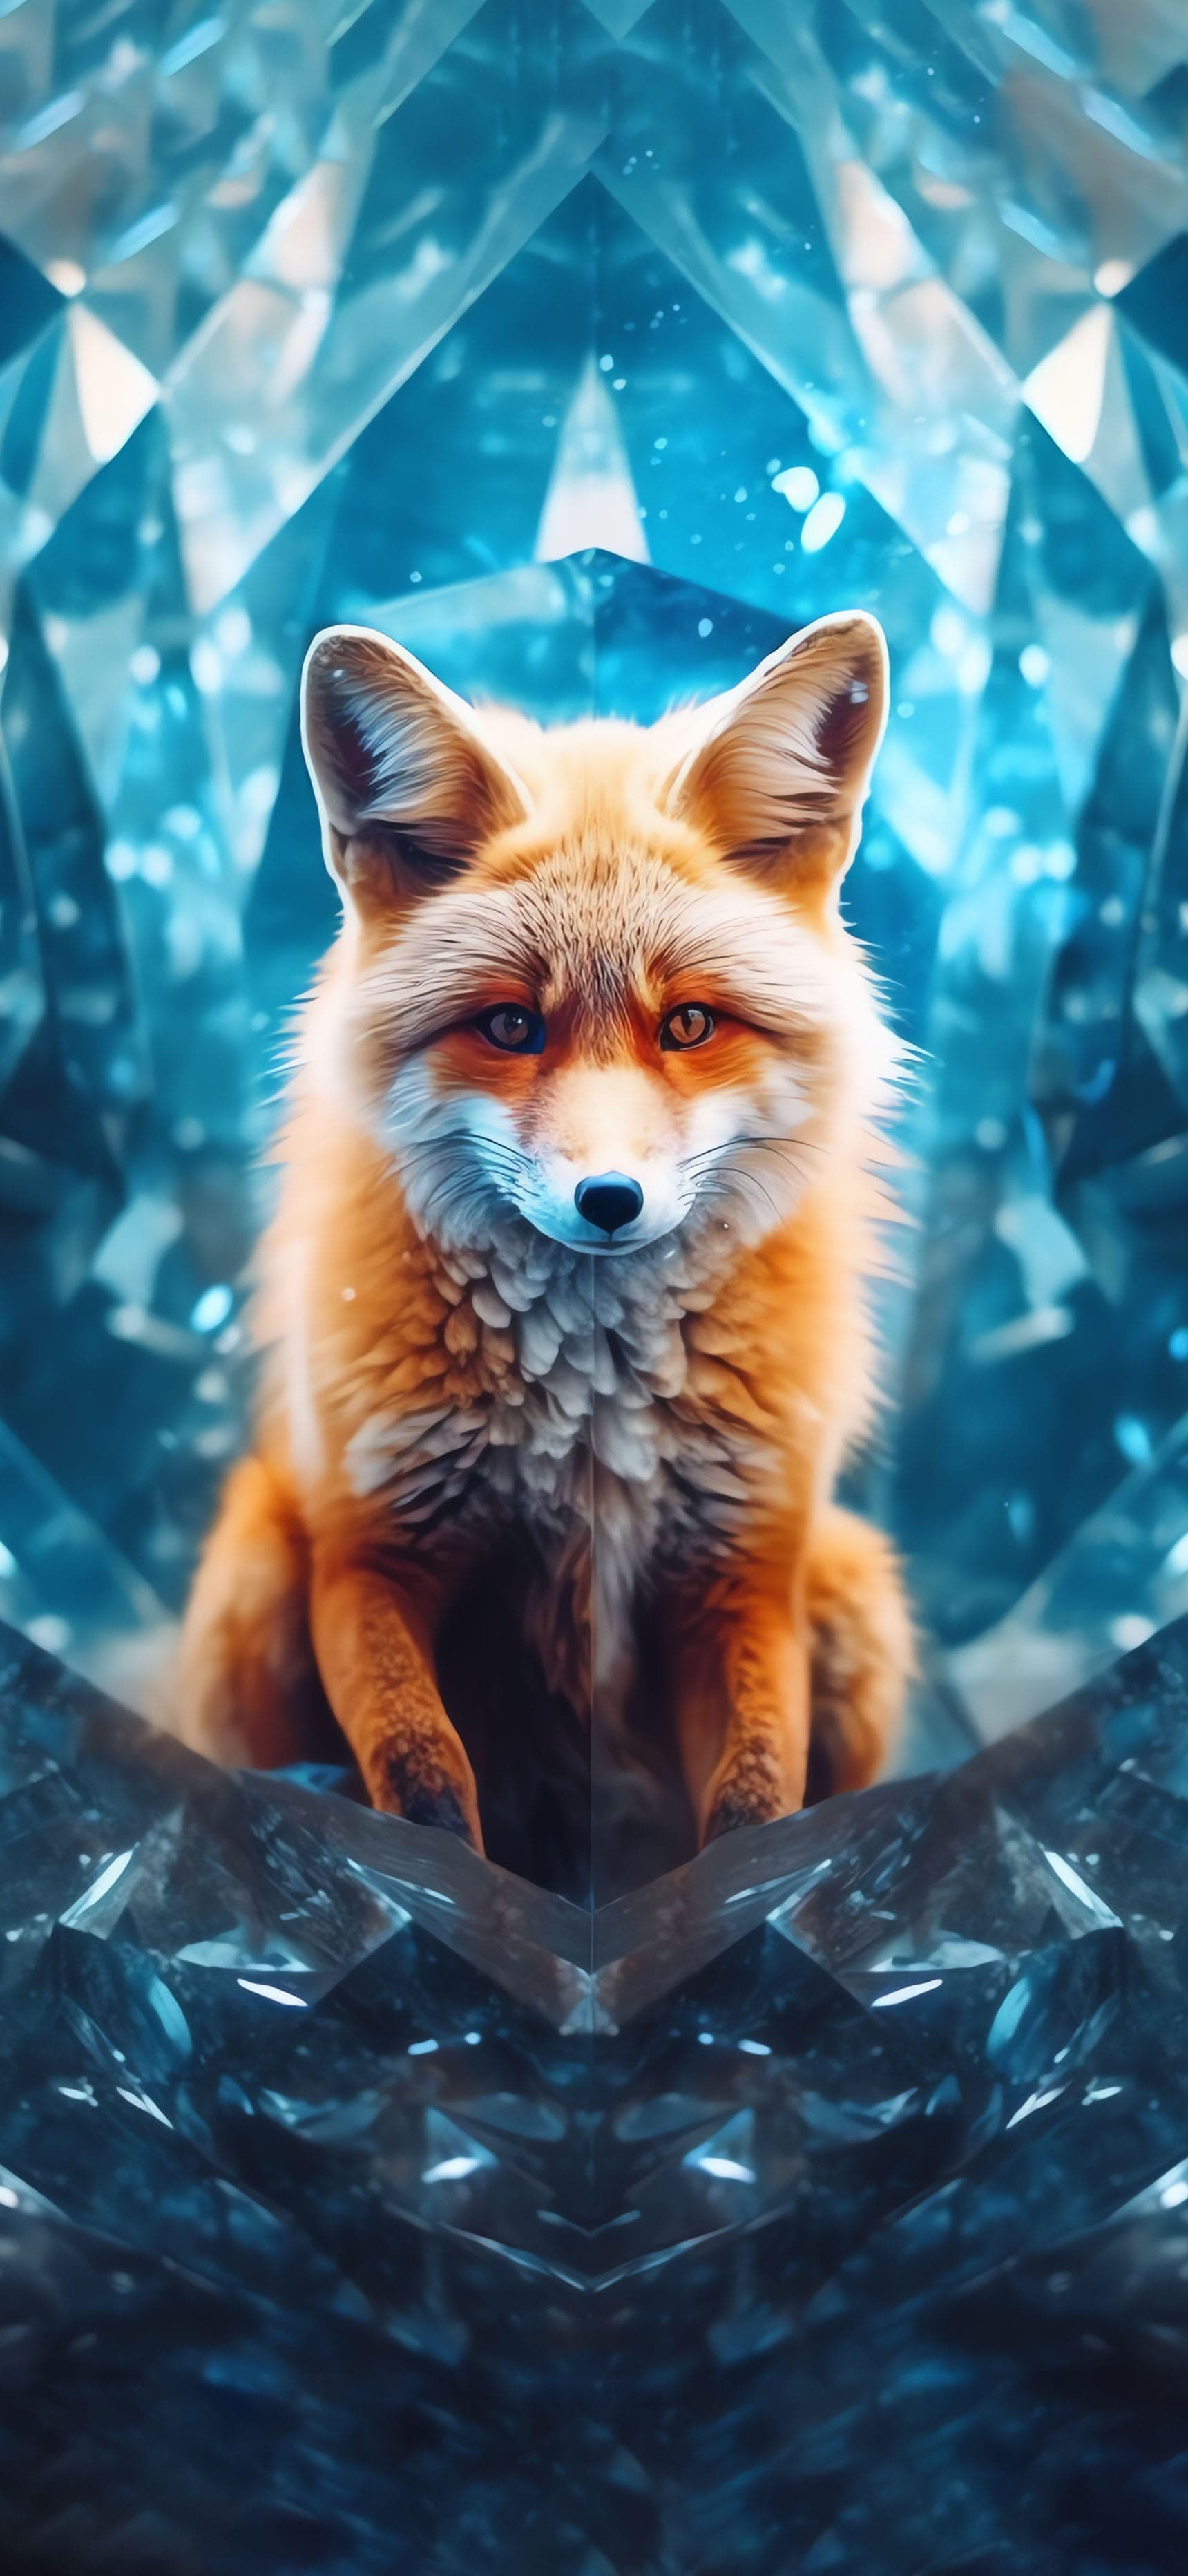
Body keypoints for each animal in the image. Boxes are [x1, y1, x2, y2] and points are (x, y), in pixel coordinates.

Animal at [175, 609, 914, 1870]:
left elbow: (753, 1802)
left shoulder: (739, 1578)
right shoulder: (370, 1558)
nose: (609, 1198)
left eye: (689, 1024)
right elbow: (424, 1780)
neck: (587, 1427)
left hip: (851, 1585)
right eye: (512, 1026)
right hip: (258, 1556)